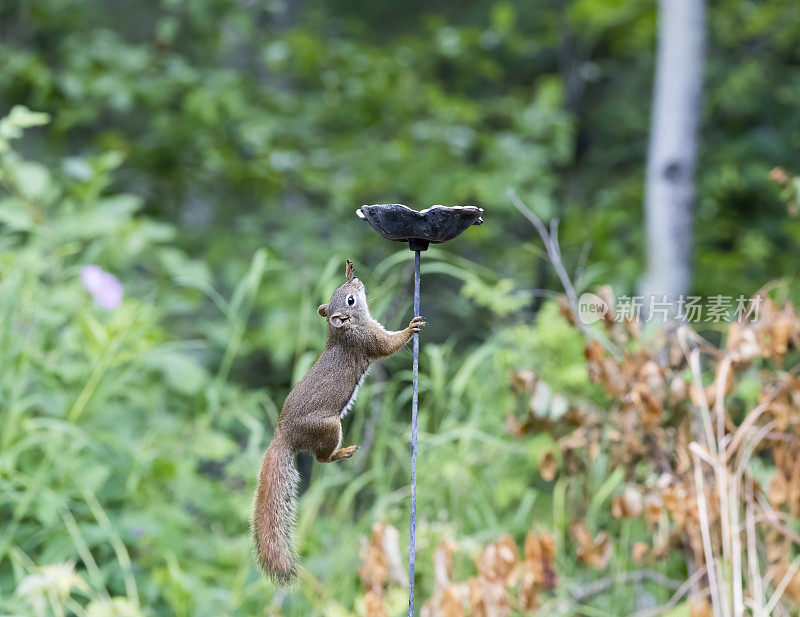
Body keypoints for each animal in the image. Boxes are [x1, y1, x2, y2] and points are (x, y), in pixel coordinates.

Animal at [252, 258, 424, 584]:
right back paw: (343, 452)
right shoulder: (369, 340)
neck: (345, 331)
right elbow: (389, 345)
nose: (356, 282)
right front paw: (411, 326)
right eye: (350, 300)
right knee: (322, 458)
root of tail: (283, 436)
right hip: (330, 427)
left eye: (344, 291)